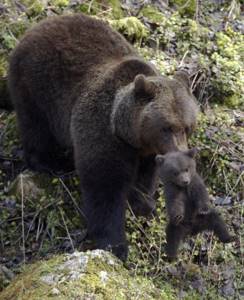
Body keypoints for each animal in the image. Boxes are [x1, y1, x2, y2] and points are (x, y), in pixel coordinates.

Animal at [3, 12, 198, 260]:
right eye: (168, 127)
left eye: (188, 127)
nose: (182, 153)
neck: (129, 134)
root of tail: (36, 27)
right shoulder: (102, 132)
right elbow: (104, 187)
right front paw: (115, 244)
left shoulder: (146, 151)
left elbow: (145, 178)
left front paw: (143, 204)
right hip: (35, 86)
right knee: (36, 128)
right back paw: (53, 162)